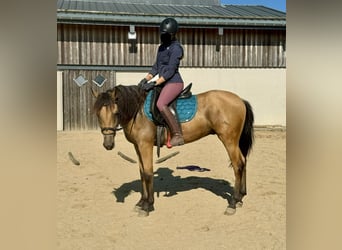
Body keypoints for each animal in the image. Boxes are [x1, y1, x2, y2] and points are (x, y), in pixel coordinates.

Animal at [91, 84, 254, 217]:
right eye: (98, 114)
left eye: (116, 113)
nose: (108, 145)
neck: (138, 112)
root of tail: (239, 100)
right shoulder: (137, 146)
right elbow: (142, 172)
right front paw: (141, 202)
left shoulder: (145, 145)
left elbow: (148, 173)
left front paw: (147, 206)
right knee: (243, 162)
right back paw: (240, 198)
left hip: (229, 140)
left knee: (238, 165)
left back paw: (232, 203)